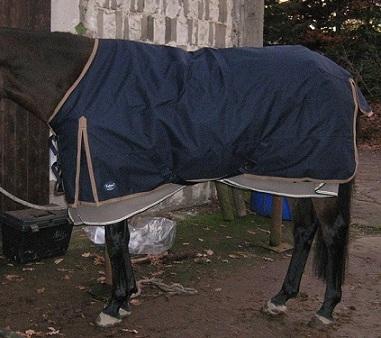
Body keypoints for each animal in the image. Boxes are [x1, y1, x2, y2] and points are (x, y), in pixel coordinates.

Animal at [0, 27, 370, 328]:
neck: (76, 81)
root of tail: (346, 78)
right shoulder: (124, 188)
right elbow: (121, 240)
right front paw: (127, 296)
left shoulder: (112, 184)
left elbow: (115, 241)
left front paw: (114, 305)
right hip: (301, 179)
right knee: (305, 231)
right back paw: (281, 299)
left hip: (320, 177)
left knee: (333, 232)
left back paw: (325, 310)